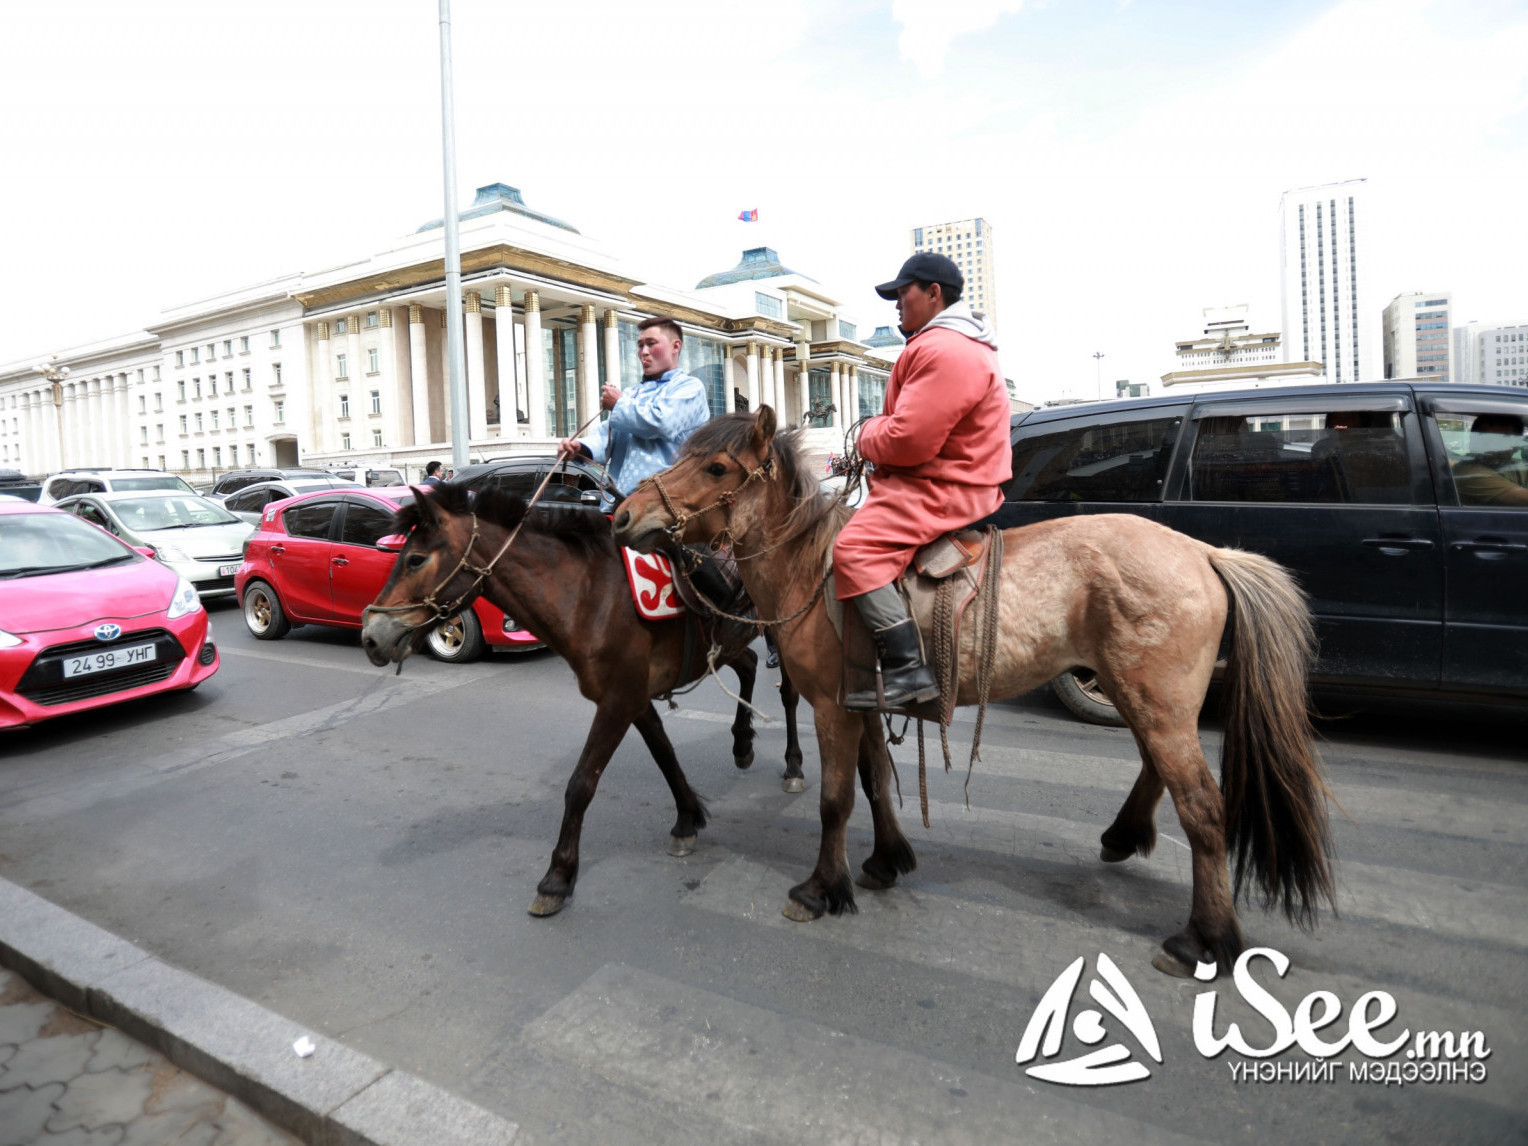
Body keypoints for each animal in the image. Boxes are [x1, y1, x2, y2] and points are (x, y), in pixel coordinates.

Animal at [359, 485, 819, 916]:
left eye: (415, 559)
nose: (371, 636)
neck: (588, 596)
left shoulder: (617, 702)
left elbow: (581, 784)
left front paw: (557, 877)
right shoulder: (632, 697)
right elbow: (665, 754)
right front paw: (687, 820)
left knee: (788, 695)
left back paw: (793, 764)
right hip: (726, 644)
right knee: (748, 664)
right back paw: (742, 743)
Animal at [611, 409, 1338, 977]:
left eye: (717, 468)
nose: (623, 515)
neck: (810, 570)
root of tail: (1206, 553)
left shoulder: (829, 708)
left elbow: (835, 799)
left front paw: (821, 888)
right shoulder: (863, 704)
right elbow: (876, 783)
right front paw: (886, 860)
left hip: (1154, 700)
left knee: (1203, 808)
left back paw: (1204, 937)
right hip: (1139, 693)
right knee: (1158, 770)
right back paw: (1125, 837)